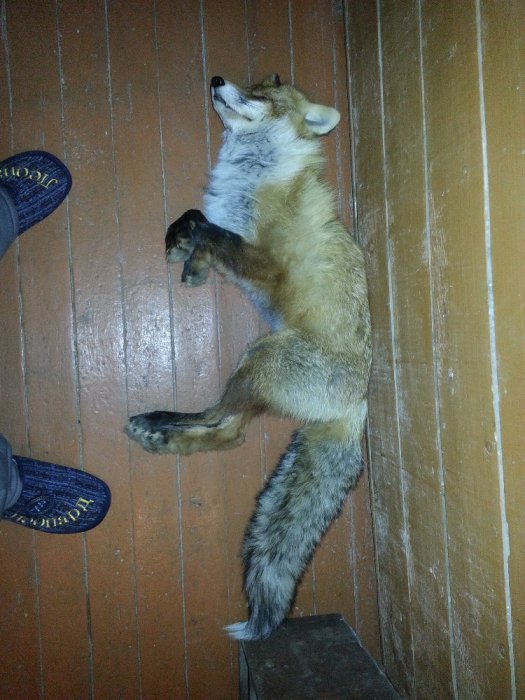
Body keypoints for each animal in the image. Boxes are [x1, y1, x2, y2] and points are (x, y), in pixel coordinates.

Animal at [125, 73, 371, 641]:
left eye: (262, 95)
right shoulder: (231, 234)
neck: (257, 176)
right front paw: (180, 243)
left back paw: (158, 422)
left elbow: (215, 232)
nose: (217, 79)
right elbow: (198, 216)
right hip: (256, 370)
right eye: (254, 83)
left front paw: (192, 258)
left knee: (220, 420)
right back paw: (164, 442)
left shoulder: (266, 262)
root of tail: (356, 406)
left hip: (257, 356)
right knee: (230, 432)